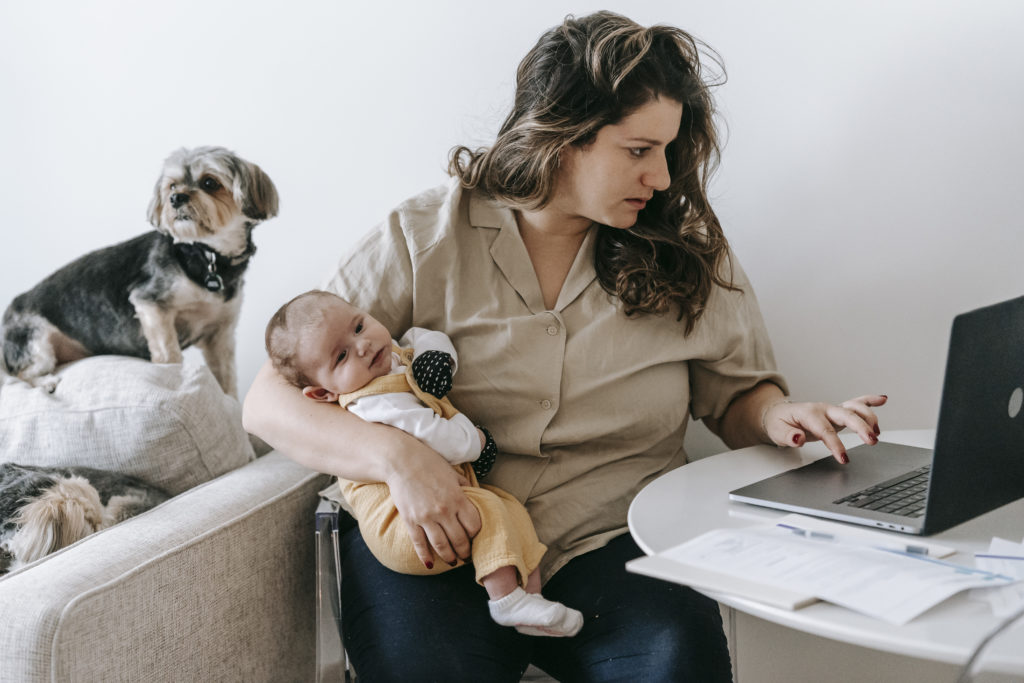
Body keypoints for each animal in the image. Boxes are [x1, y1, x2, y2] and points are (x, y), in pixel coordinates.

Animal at [0, 147, 278, 397]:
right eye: (172, 186)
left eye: (210, 182)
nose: (176, 199)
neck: (206, 254)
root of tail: (10, 311)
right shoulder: (151, 305)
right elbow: (169, 353)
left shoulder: (220, 334)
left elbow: (226, 380)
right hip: (35, 343)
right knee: (18, 374)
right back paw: (45, 382)